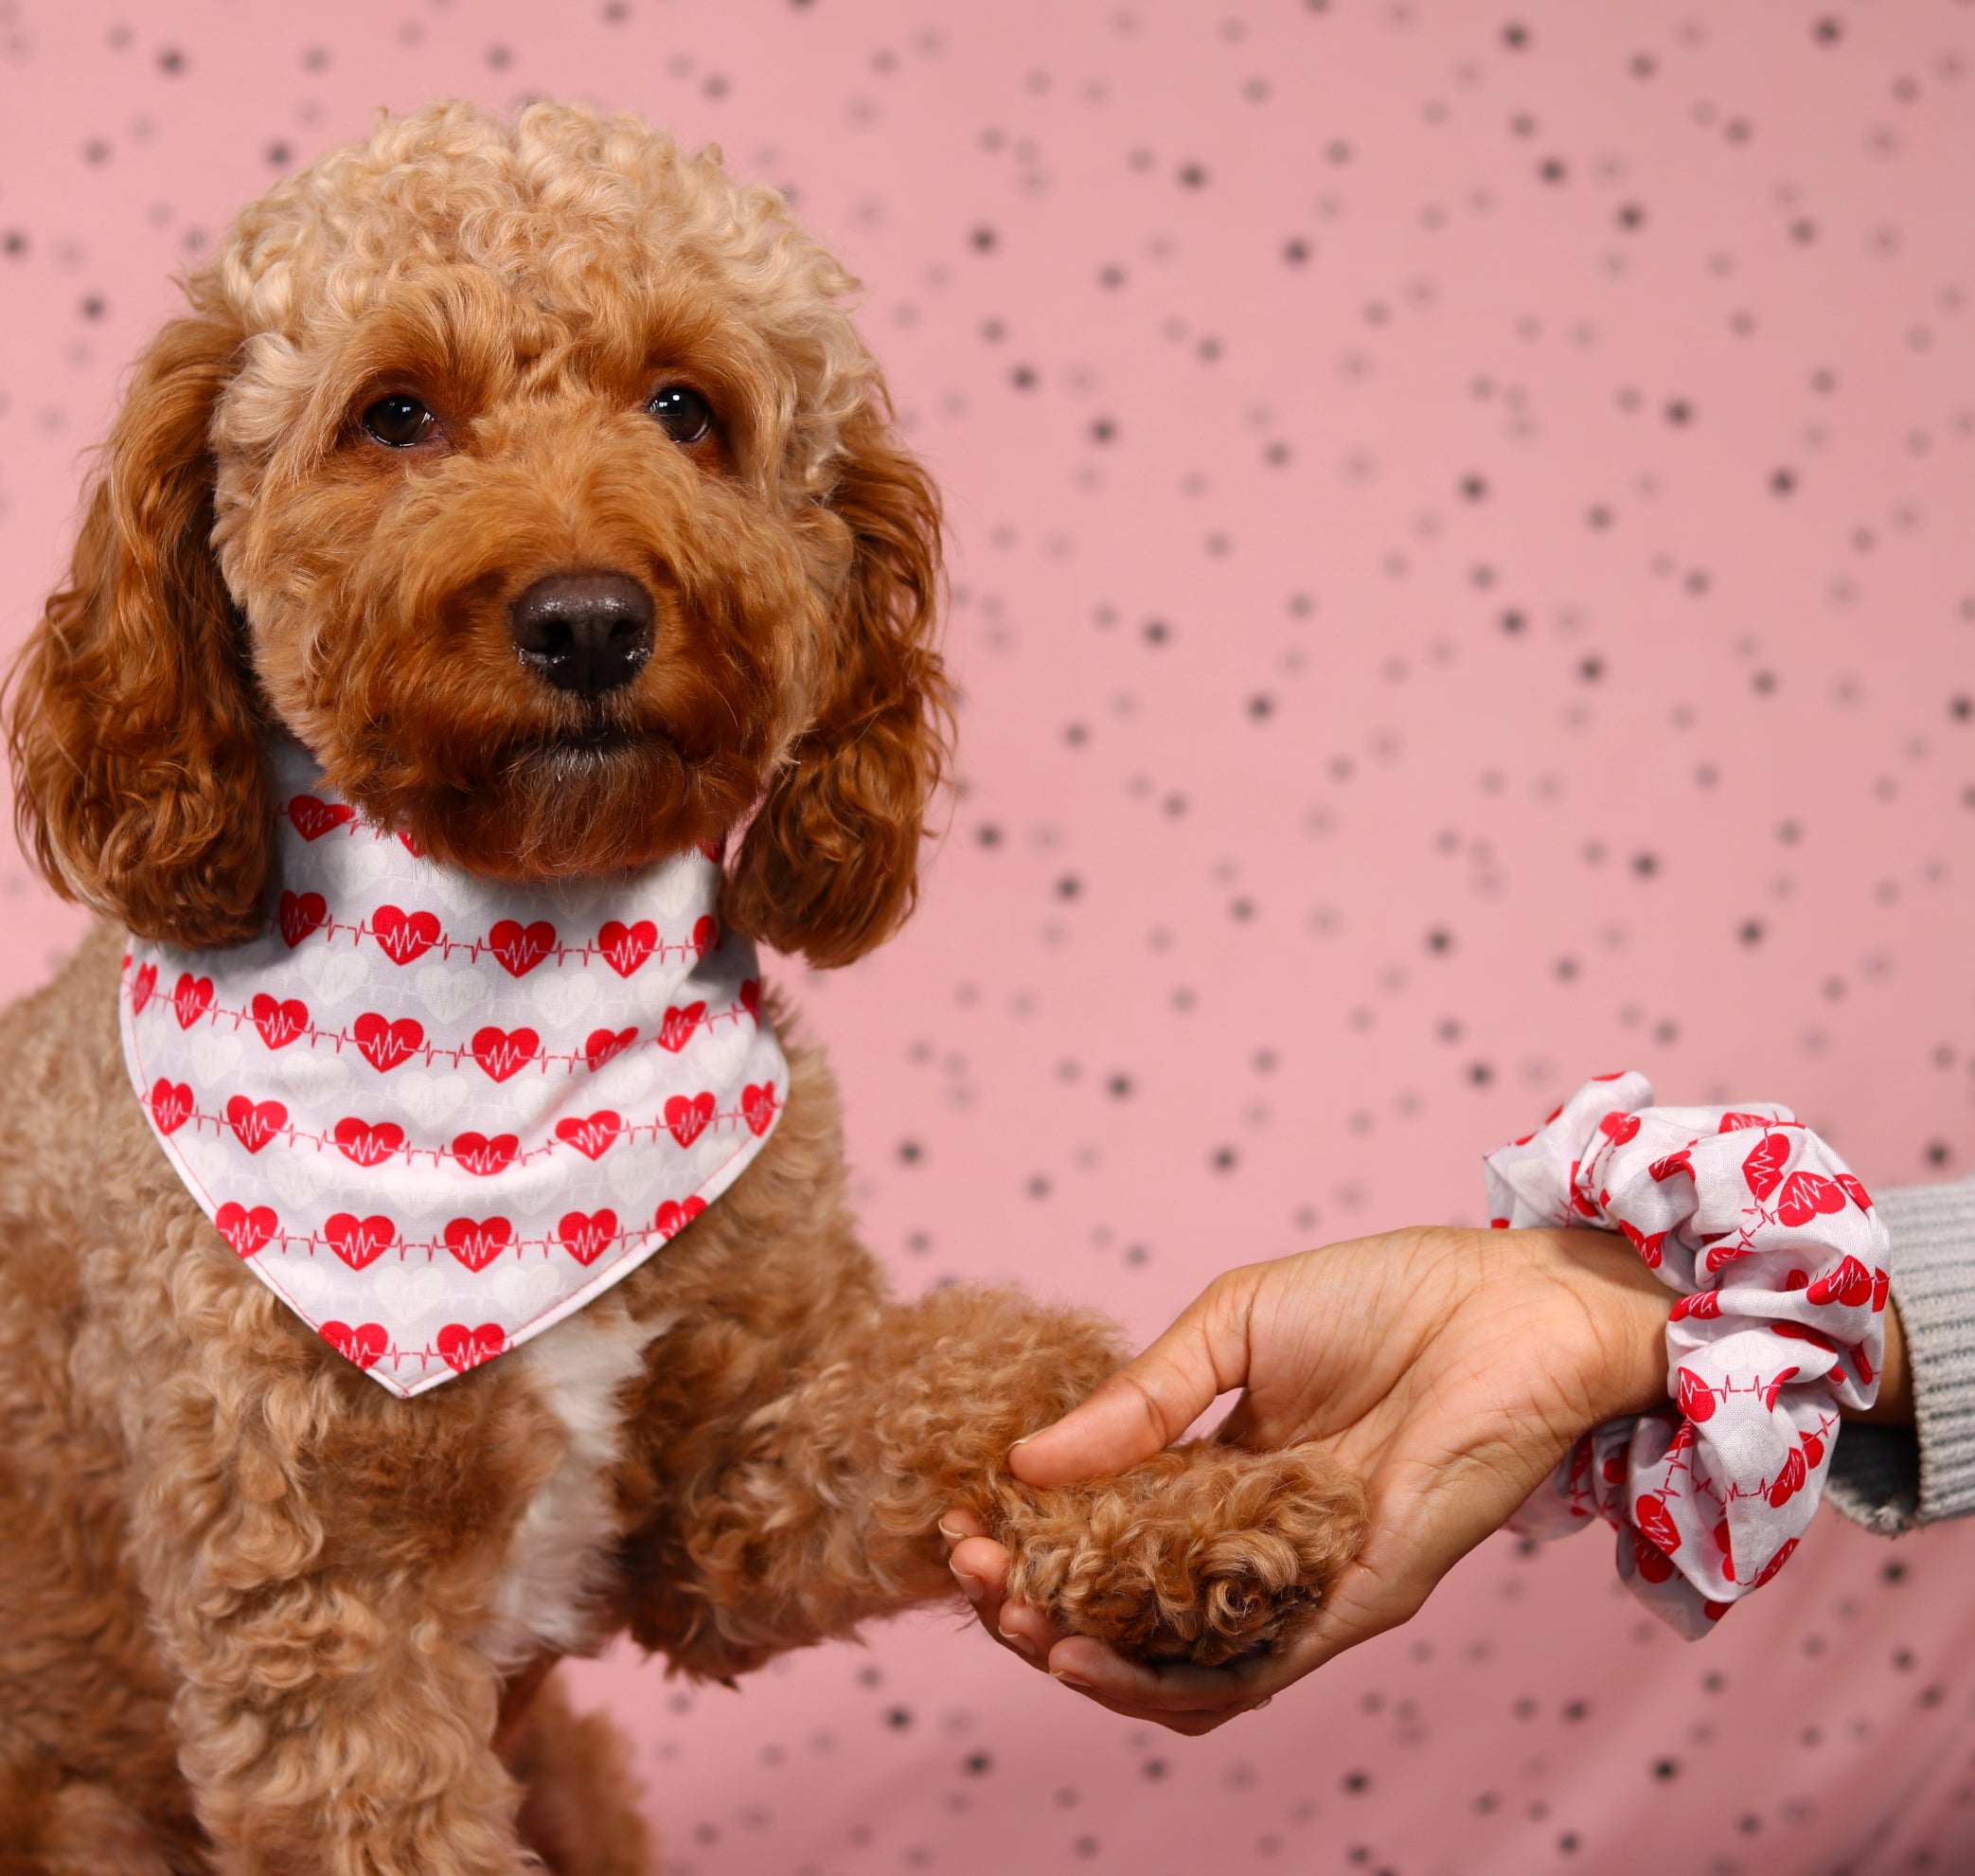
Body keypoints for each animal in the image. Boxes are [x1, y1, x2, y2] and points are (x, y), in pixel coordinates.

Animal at [0, 106, 1366, 1876]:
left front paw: (1185, 1514)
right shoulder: (318, 1622)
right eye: (396, 414)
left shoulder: (729, 1495)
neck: (510, 1009)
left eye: (683, 408)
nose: (588, 619)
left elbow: (970, 1388)